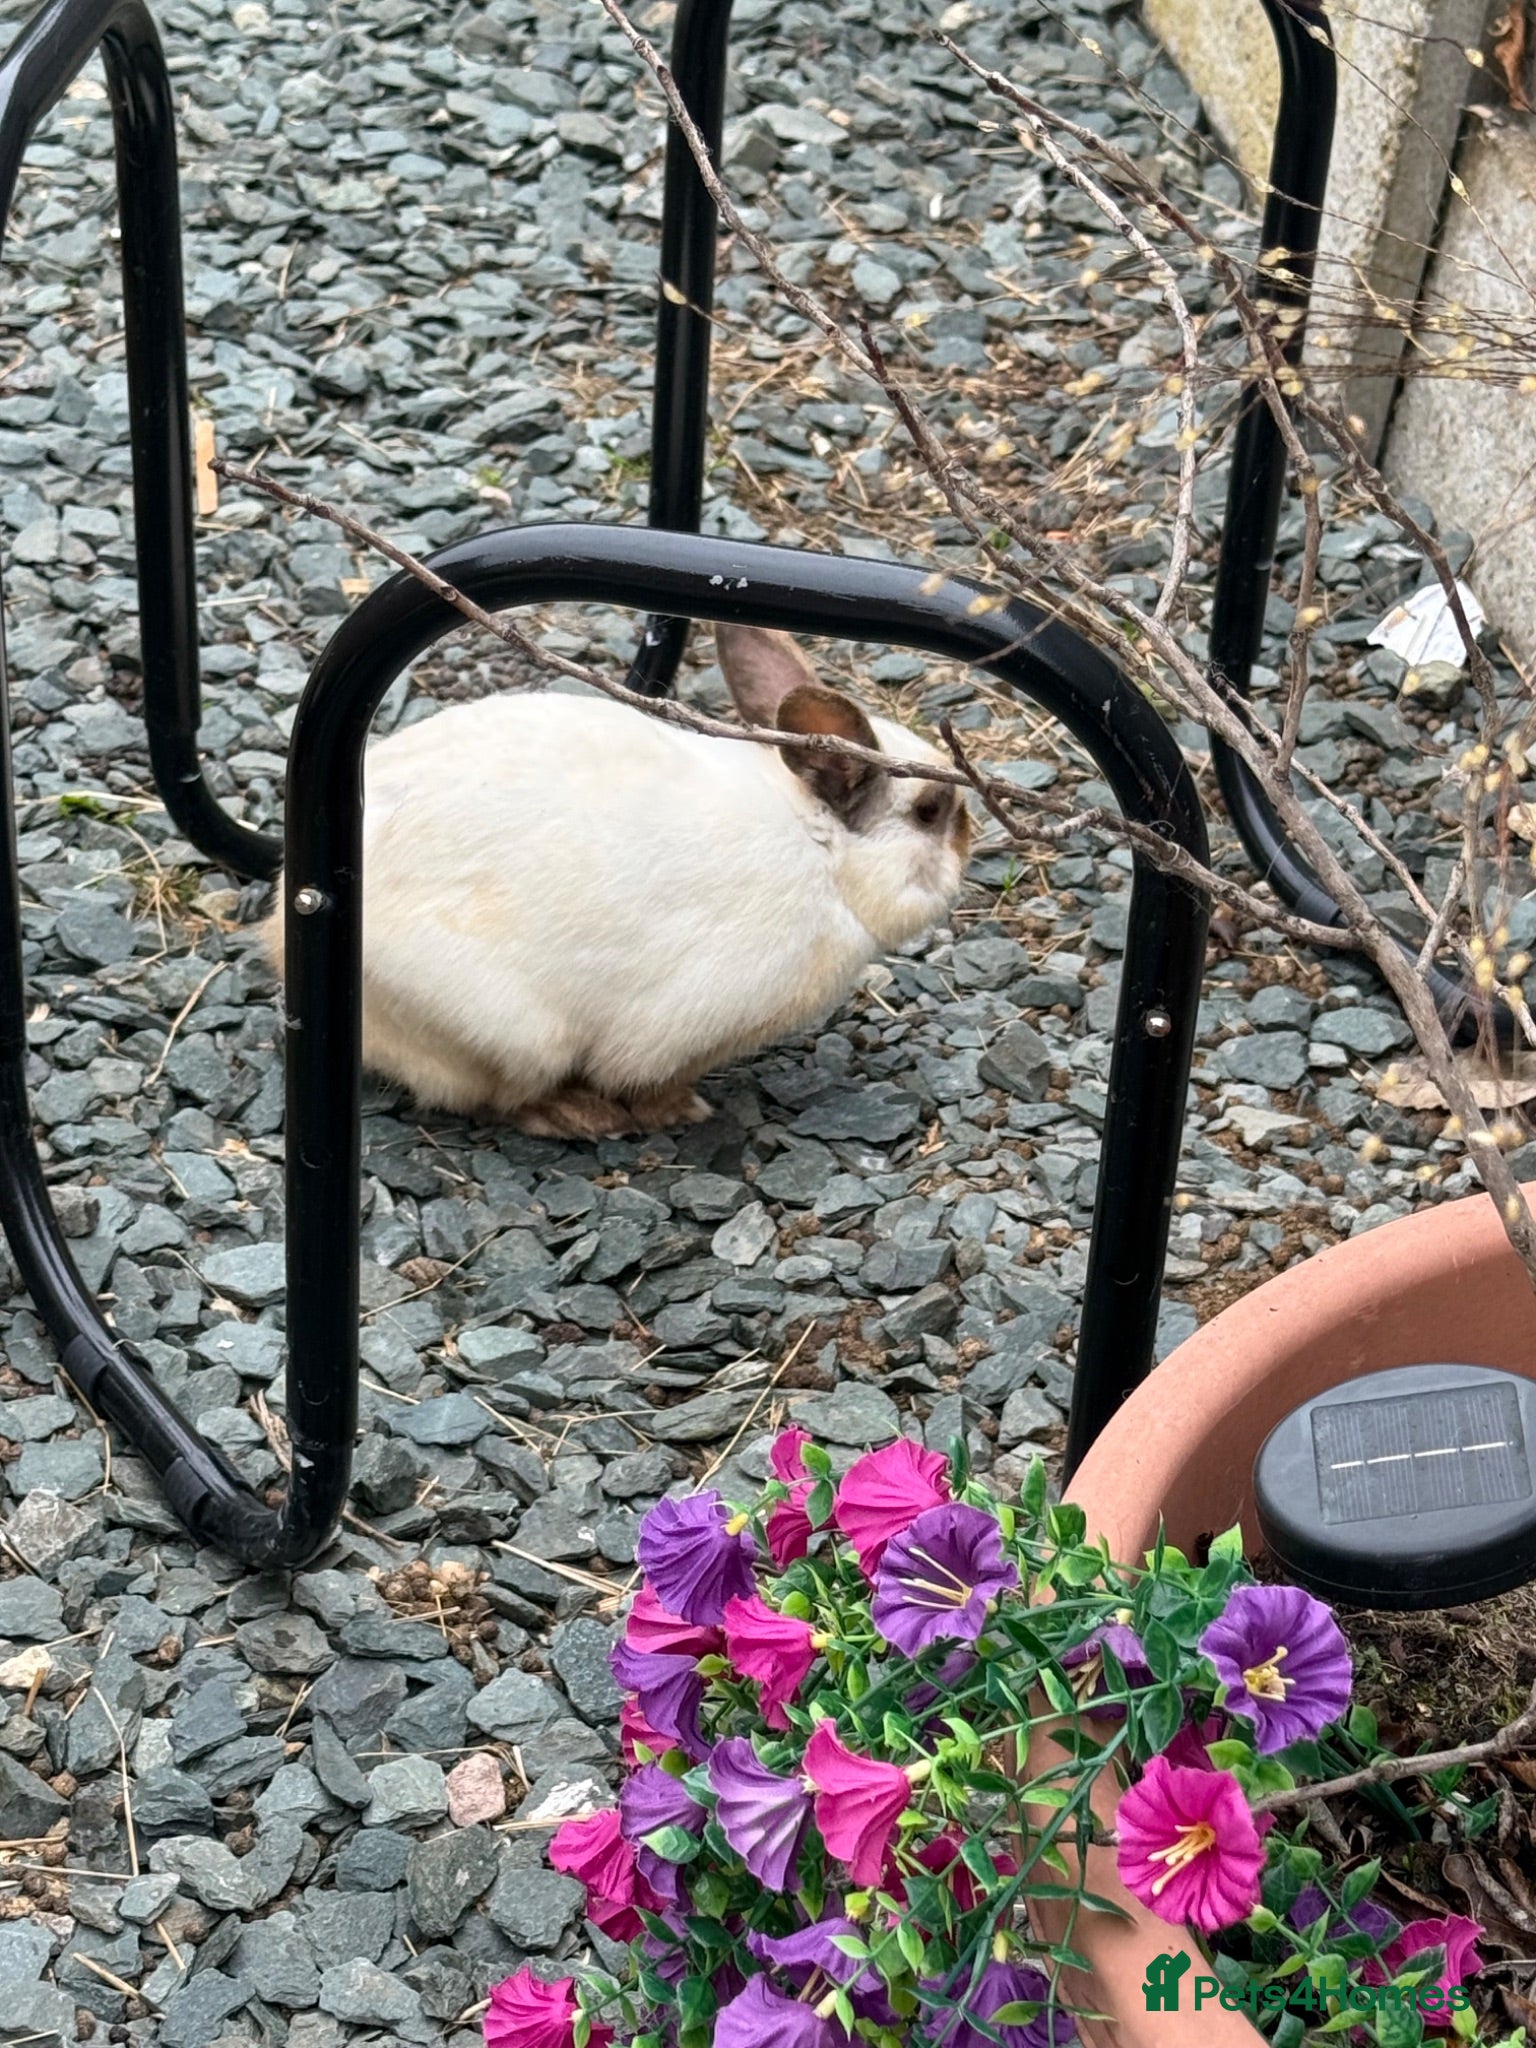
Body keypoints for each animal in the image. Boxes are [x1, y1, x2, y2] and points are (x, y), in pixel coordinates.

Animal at [265, 624, 971, 1138]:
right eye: (931, 812)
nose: (971, 843)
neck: (825, 858)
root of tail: (277, 938)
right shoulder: (680, 1030)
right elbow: (646, 1079)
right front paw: (681, 1112)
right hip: (510, 1035)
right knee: (496, 1099)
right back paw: (579, 1117)